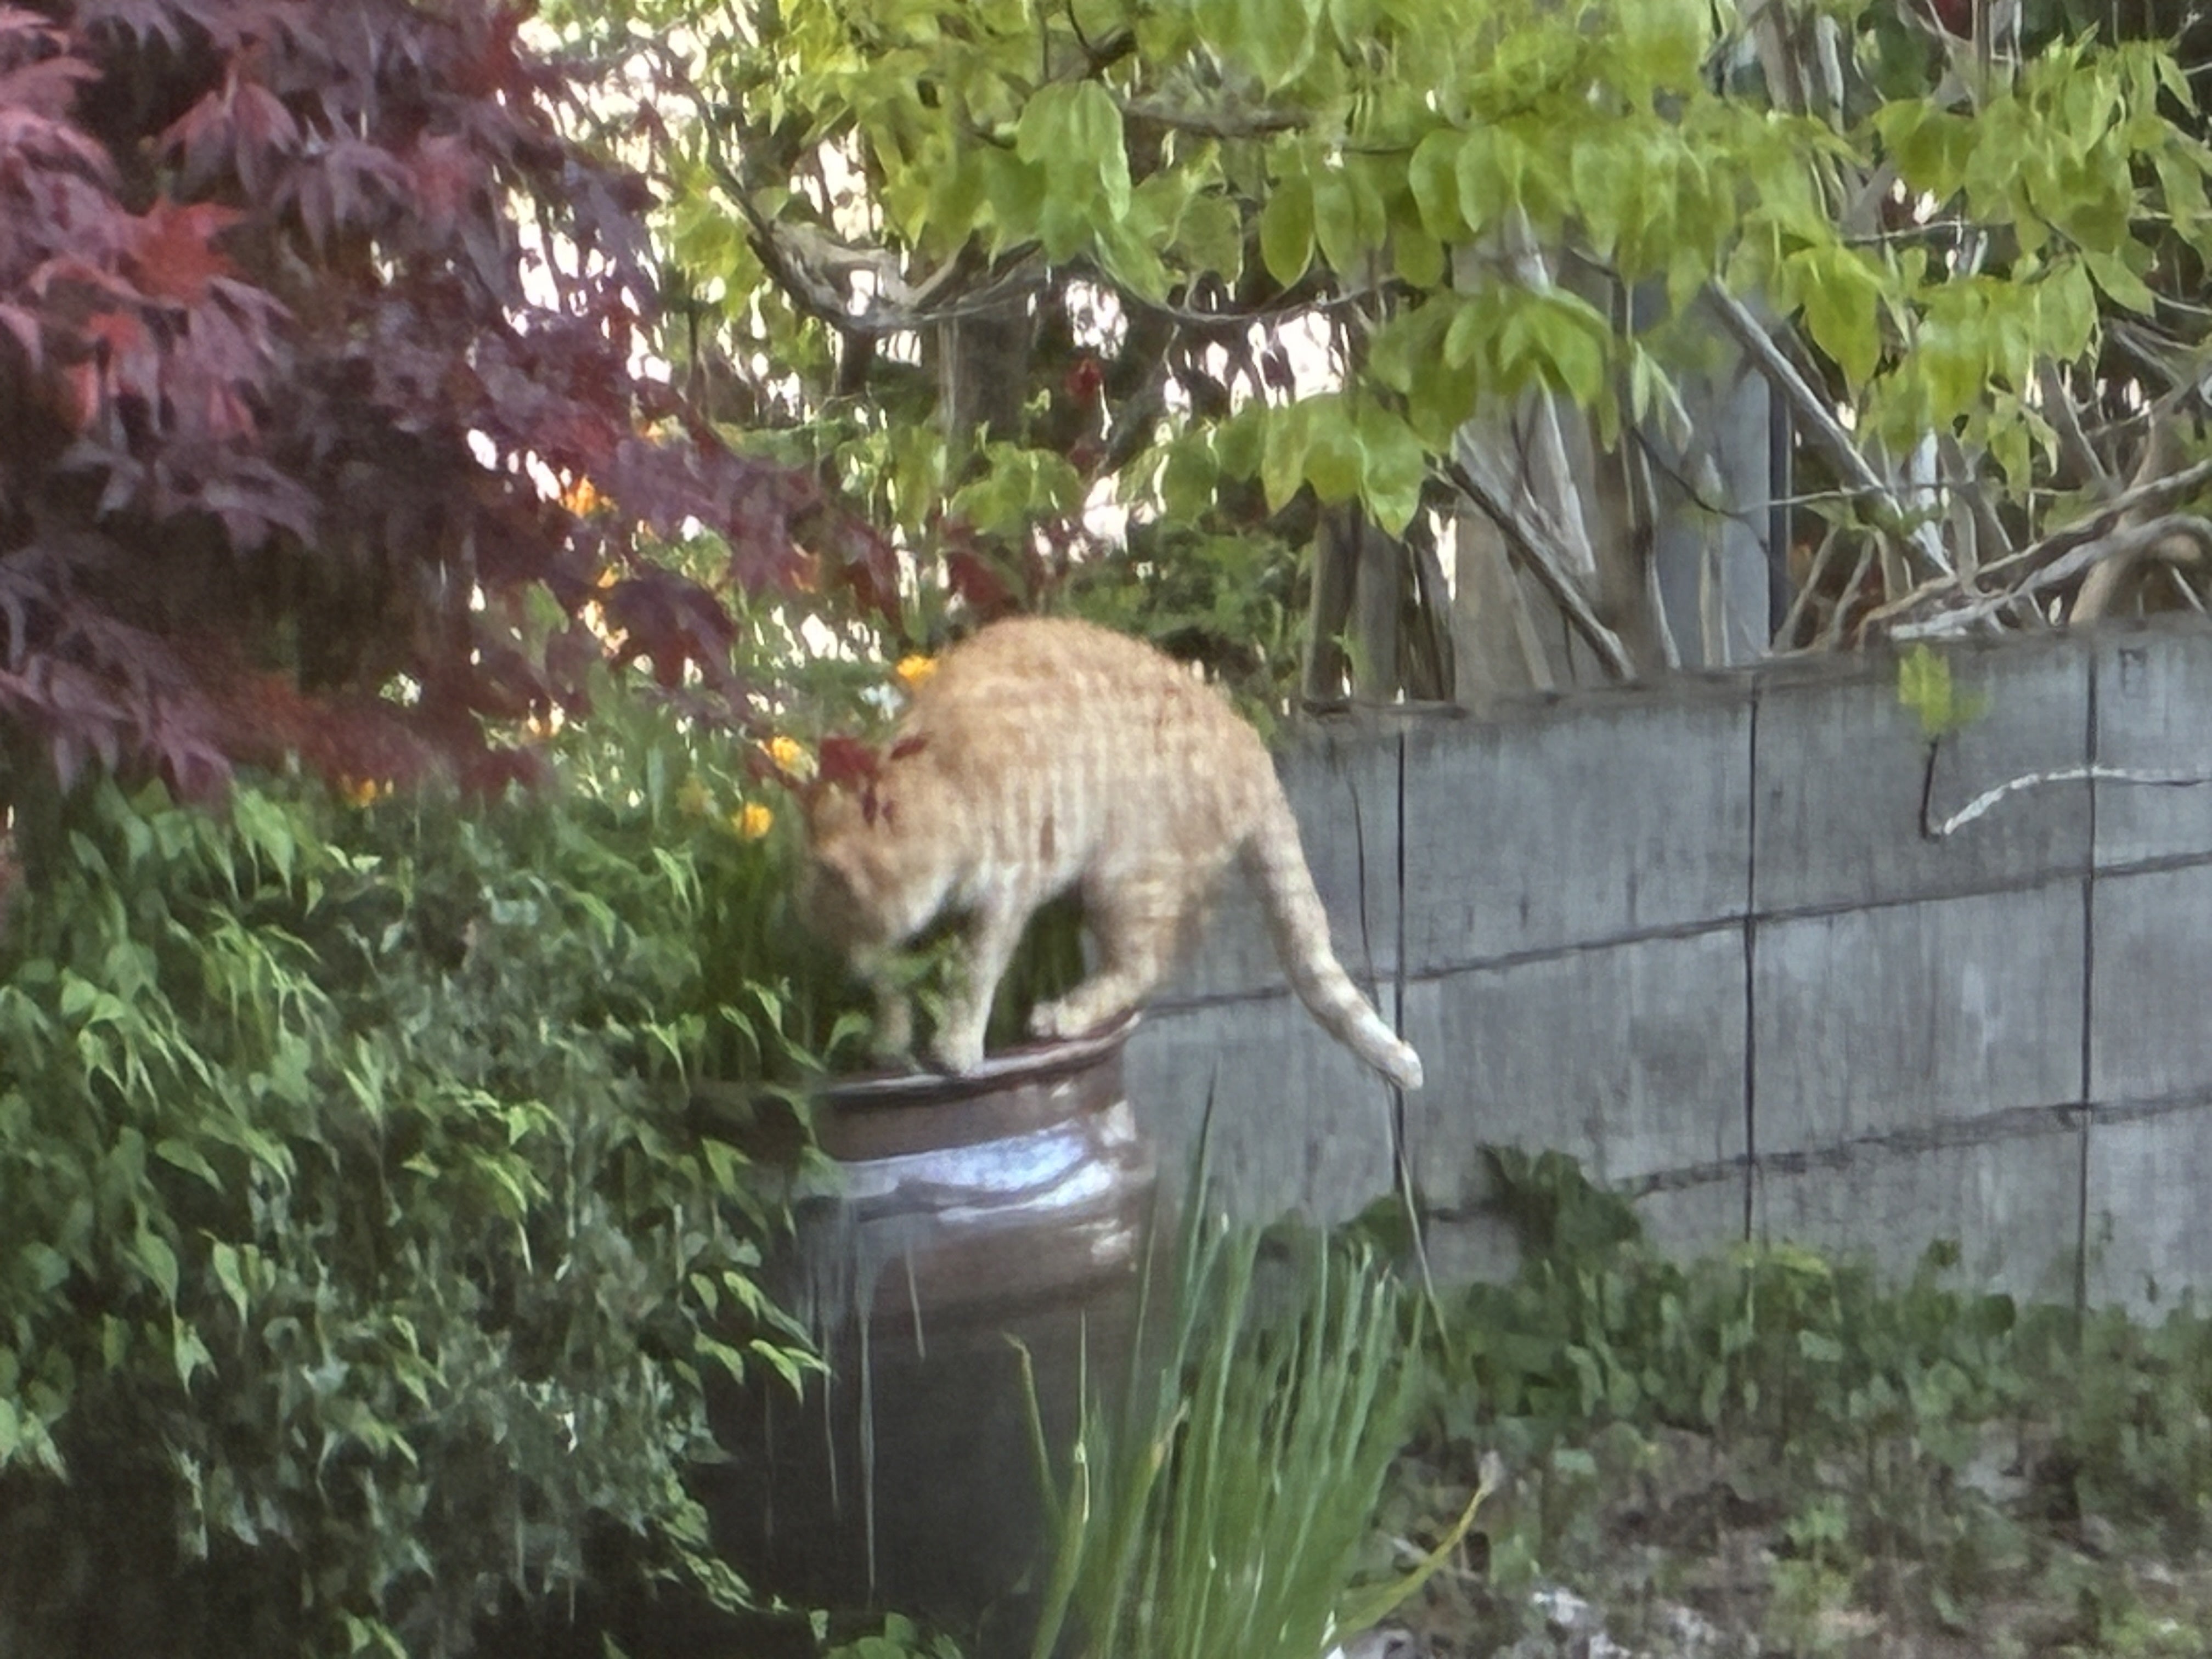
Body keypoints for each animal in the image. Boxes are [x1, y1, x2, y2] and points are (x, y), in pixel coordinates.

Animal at [798, 616, 1424, 1090]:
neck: (945, 782)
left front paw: (956, 1046)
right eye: (823, 910)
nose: (828, 944)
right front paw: (891, 1036)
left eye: (840, 889)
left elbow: (974, 973)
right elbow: (893, 986)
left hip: (1124, 878)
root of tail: (1250, 744)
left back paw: (1066, 1013)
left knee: (1143, 966)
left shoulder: (1007, 890)